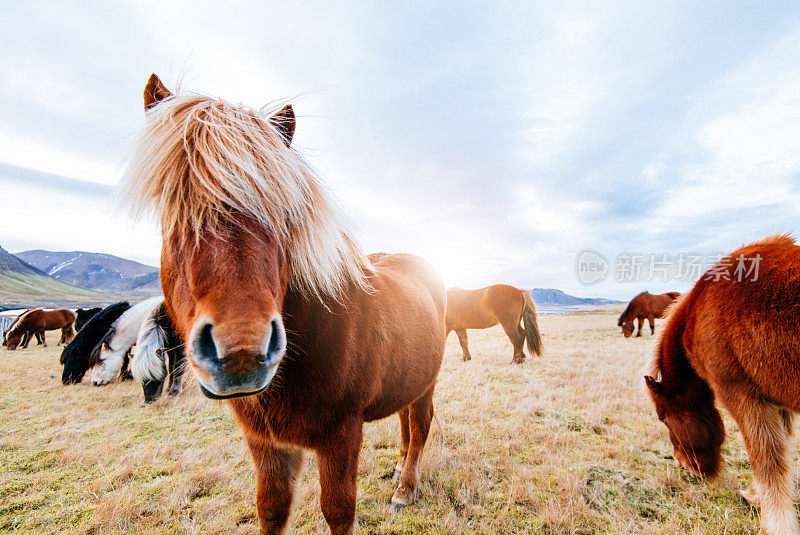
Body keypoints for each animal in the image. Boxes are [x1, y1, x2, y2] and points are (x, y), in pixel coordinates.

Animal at [125, 76, 450, 535]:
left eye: (281, 213)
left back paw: (405, 489)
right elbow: (272, 510)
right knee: (405, 422)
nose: (241, 353)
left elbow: (338, 511)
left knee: (419, 425)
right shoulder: (267, 443)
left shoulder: (341, 437)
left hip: (427, 382)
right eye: (172, 203)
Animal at [644, 237, 800, 535]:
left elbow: (766, 461)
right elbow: (784, 453)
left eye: (663, 418)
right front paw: (756, 497)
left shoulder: (744, 395)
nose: (685, 467)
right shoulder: (776, 401)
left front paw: (774, 523)